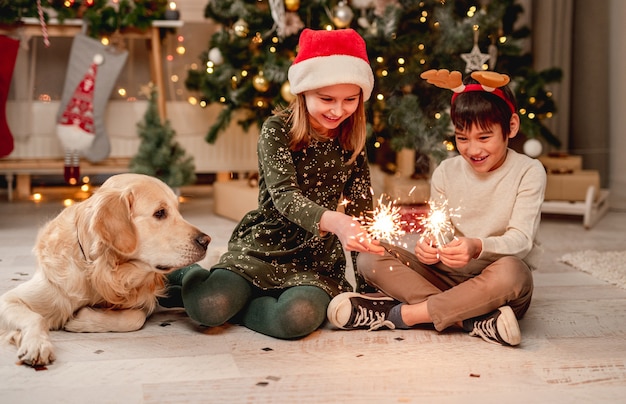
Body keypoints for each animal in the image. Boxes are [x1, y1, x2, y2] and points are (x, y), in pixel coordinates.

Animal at [0, 173, 210, 366]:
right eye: (160, 213)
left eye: (178, 210)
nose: (206, 241)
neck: (100, 272)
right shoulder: (13, 299)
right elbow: (36, 318)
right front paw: (37, 344)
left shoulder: (144, 300)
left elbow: (135, 317)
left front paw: (80, 319)